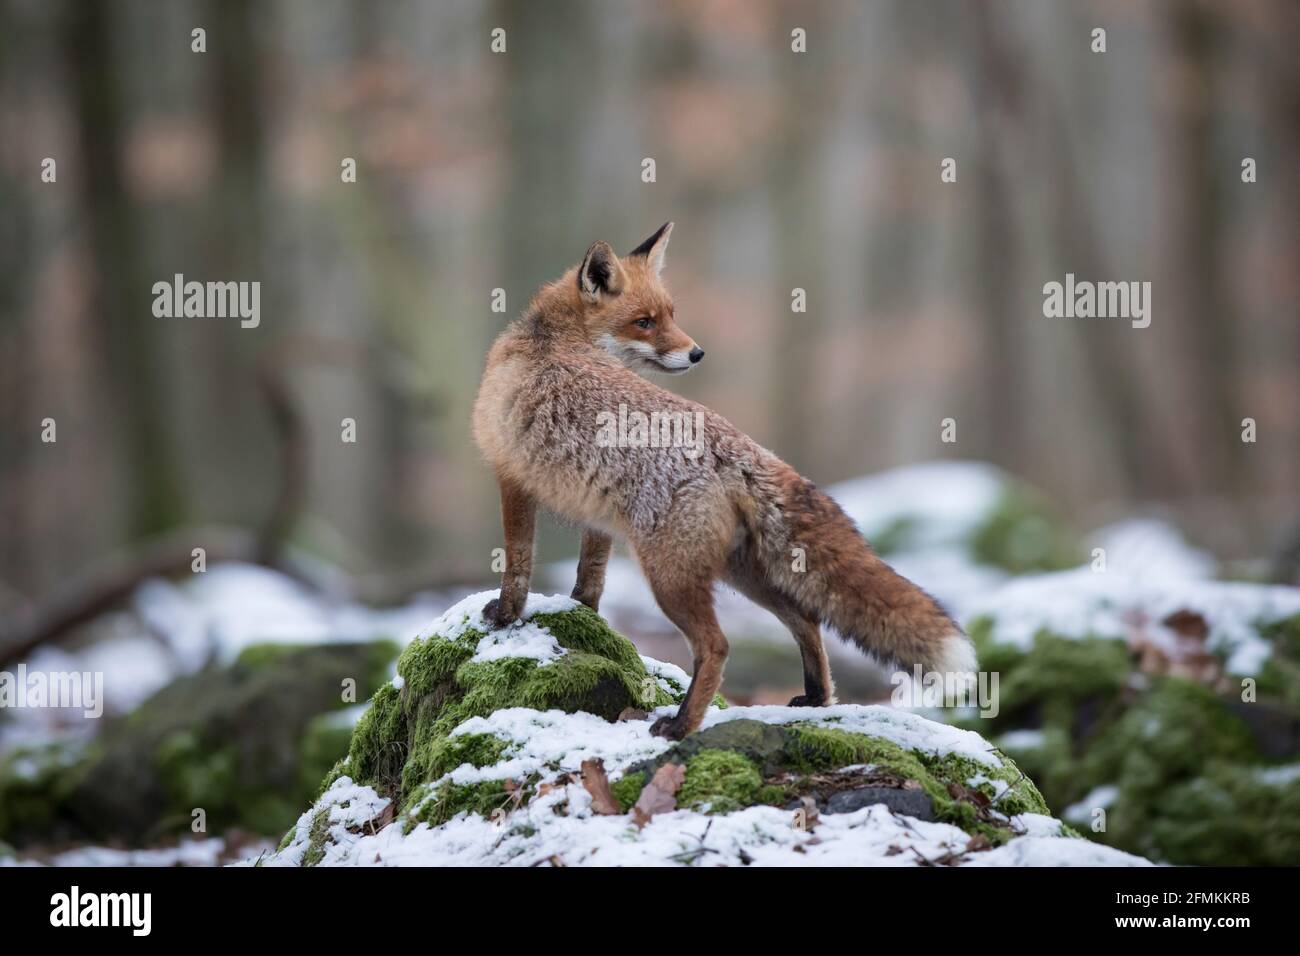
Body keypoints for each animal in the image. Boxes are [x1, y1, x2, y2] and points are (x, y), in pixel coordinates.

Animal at [475, 223, 977, 738]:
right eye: (644, 322)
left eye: (669, 315)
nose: (697, 352)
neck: (551, 339)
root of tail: (740, 449)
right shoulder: (594, 513)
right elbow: (589, 580)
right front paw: (582, 621)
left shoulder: (510, 476)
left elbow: (517, 562)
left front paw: (506, 616)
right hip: (744, 572)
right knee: (807, 621)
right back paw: (816, 697)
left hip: (672, 579)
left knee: (717, 646)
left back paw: (681, 725)